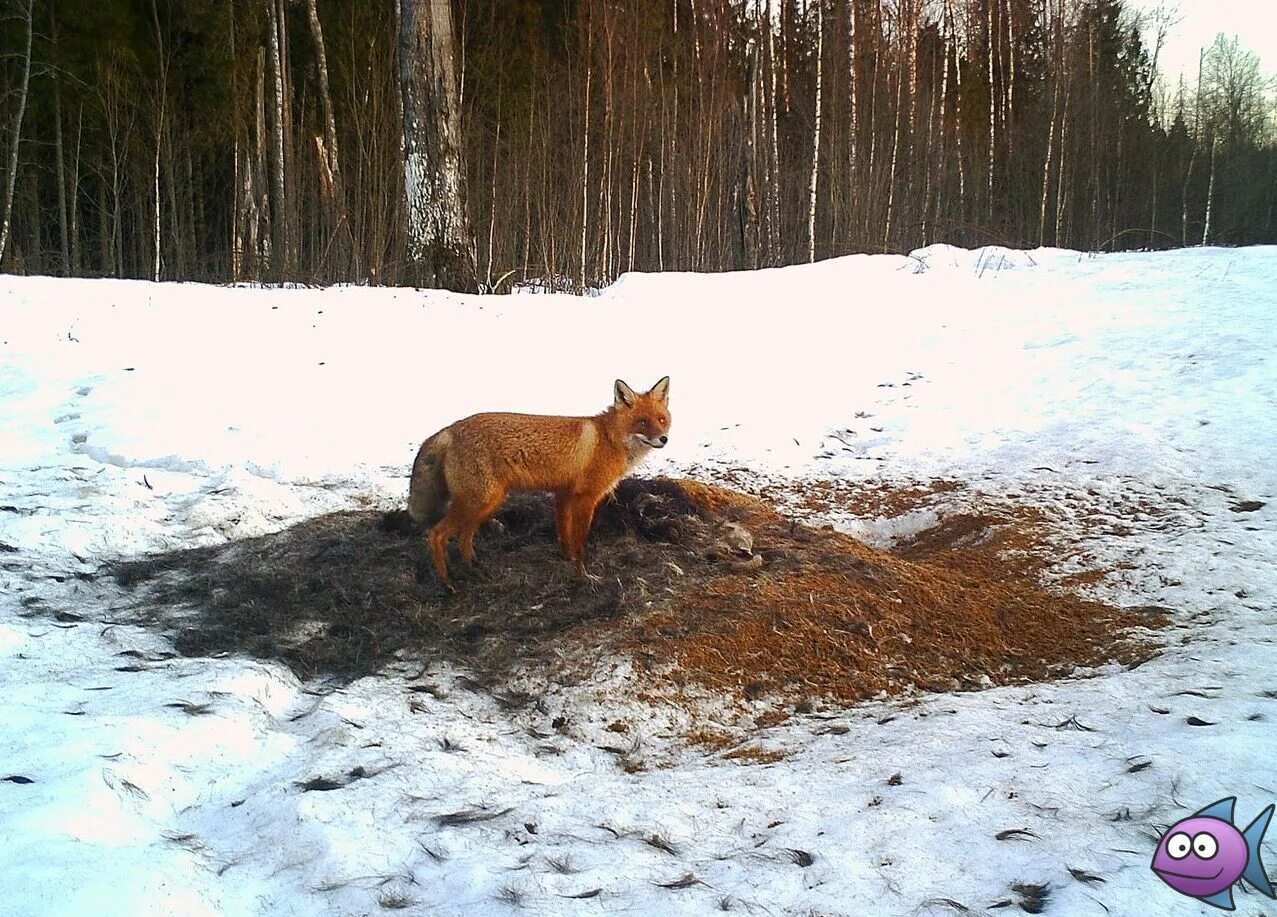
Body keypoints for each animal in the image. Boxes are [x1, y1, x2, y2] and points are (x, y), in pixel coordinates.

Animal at [408, 378, 674, 590]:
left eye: (662, 419)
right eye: (642, 422)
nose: (664, 439)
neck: (608, 439)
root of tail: (451, 428)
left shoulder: (563, 493)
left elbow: (564, 534)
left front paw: (567, 560)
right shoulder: (586, 497)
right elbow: (580, 542)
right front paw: (583, 577)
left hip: (487, 503)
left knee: (464, 536)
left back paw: (476, 568)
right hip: (478, 501)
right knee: (437, 535)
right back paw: (448, 584)